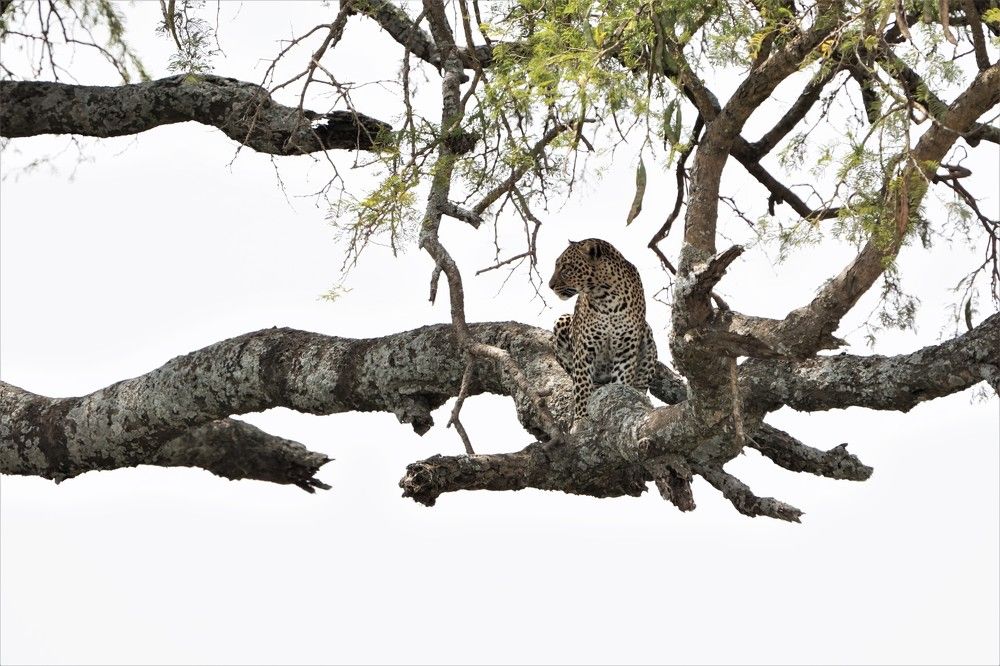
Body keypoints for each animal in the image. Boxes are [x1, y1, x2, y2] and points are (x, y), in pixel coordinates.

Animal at [548, 238, 658, 423]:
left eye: (566, 267)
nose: (550, 285)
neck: (606, 297)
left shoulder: (626, 348)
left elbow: (622, 379)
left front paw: (621, 396)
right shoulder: (585, 349)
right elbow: (582, 385)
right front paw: (581, 418)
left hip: (648, 336)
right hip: (561, 322)